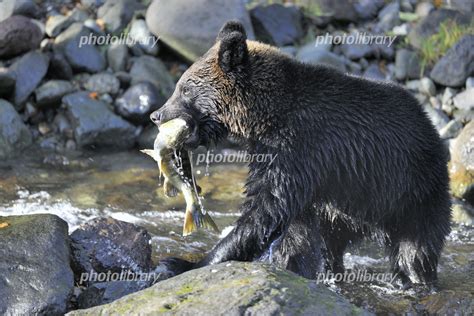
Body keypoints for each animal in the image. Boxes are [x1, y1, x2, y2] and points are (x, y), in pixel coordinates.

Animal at [150, 19, 450, 286]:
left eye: (185, 88)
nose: (156, 114)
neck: (264, 118)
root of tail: (430, 125)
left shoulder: (297, 148)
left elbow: (264, 211)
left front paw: (181, 263)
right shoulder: (302, 172)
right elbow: (294, 231)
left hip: (411, 189)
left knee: (416, 246)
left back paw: (413, 277)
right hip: (348, 204)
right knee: (333, 241)